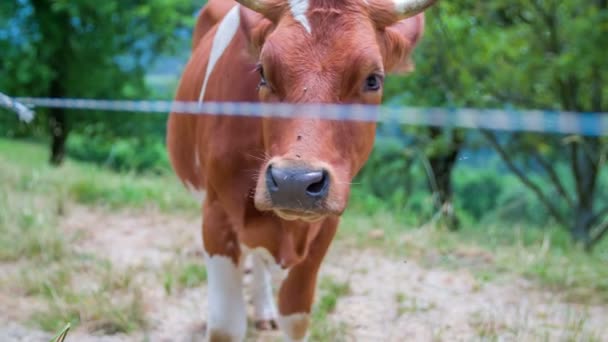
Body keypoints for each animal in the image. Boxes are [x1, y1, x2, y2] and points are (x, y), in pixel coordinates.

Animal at [166, 0, 432, 340]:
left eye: (373, 79)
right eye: (263, 72)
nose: (293, 181)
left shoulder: (325, 225)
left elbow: (295, 316)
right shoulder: (216, 216)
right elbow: (226, 325)